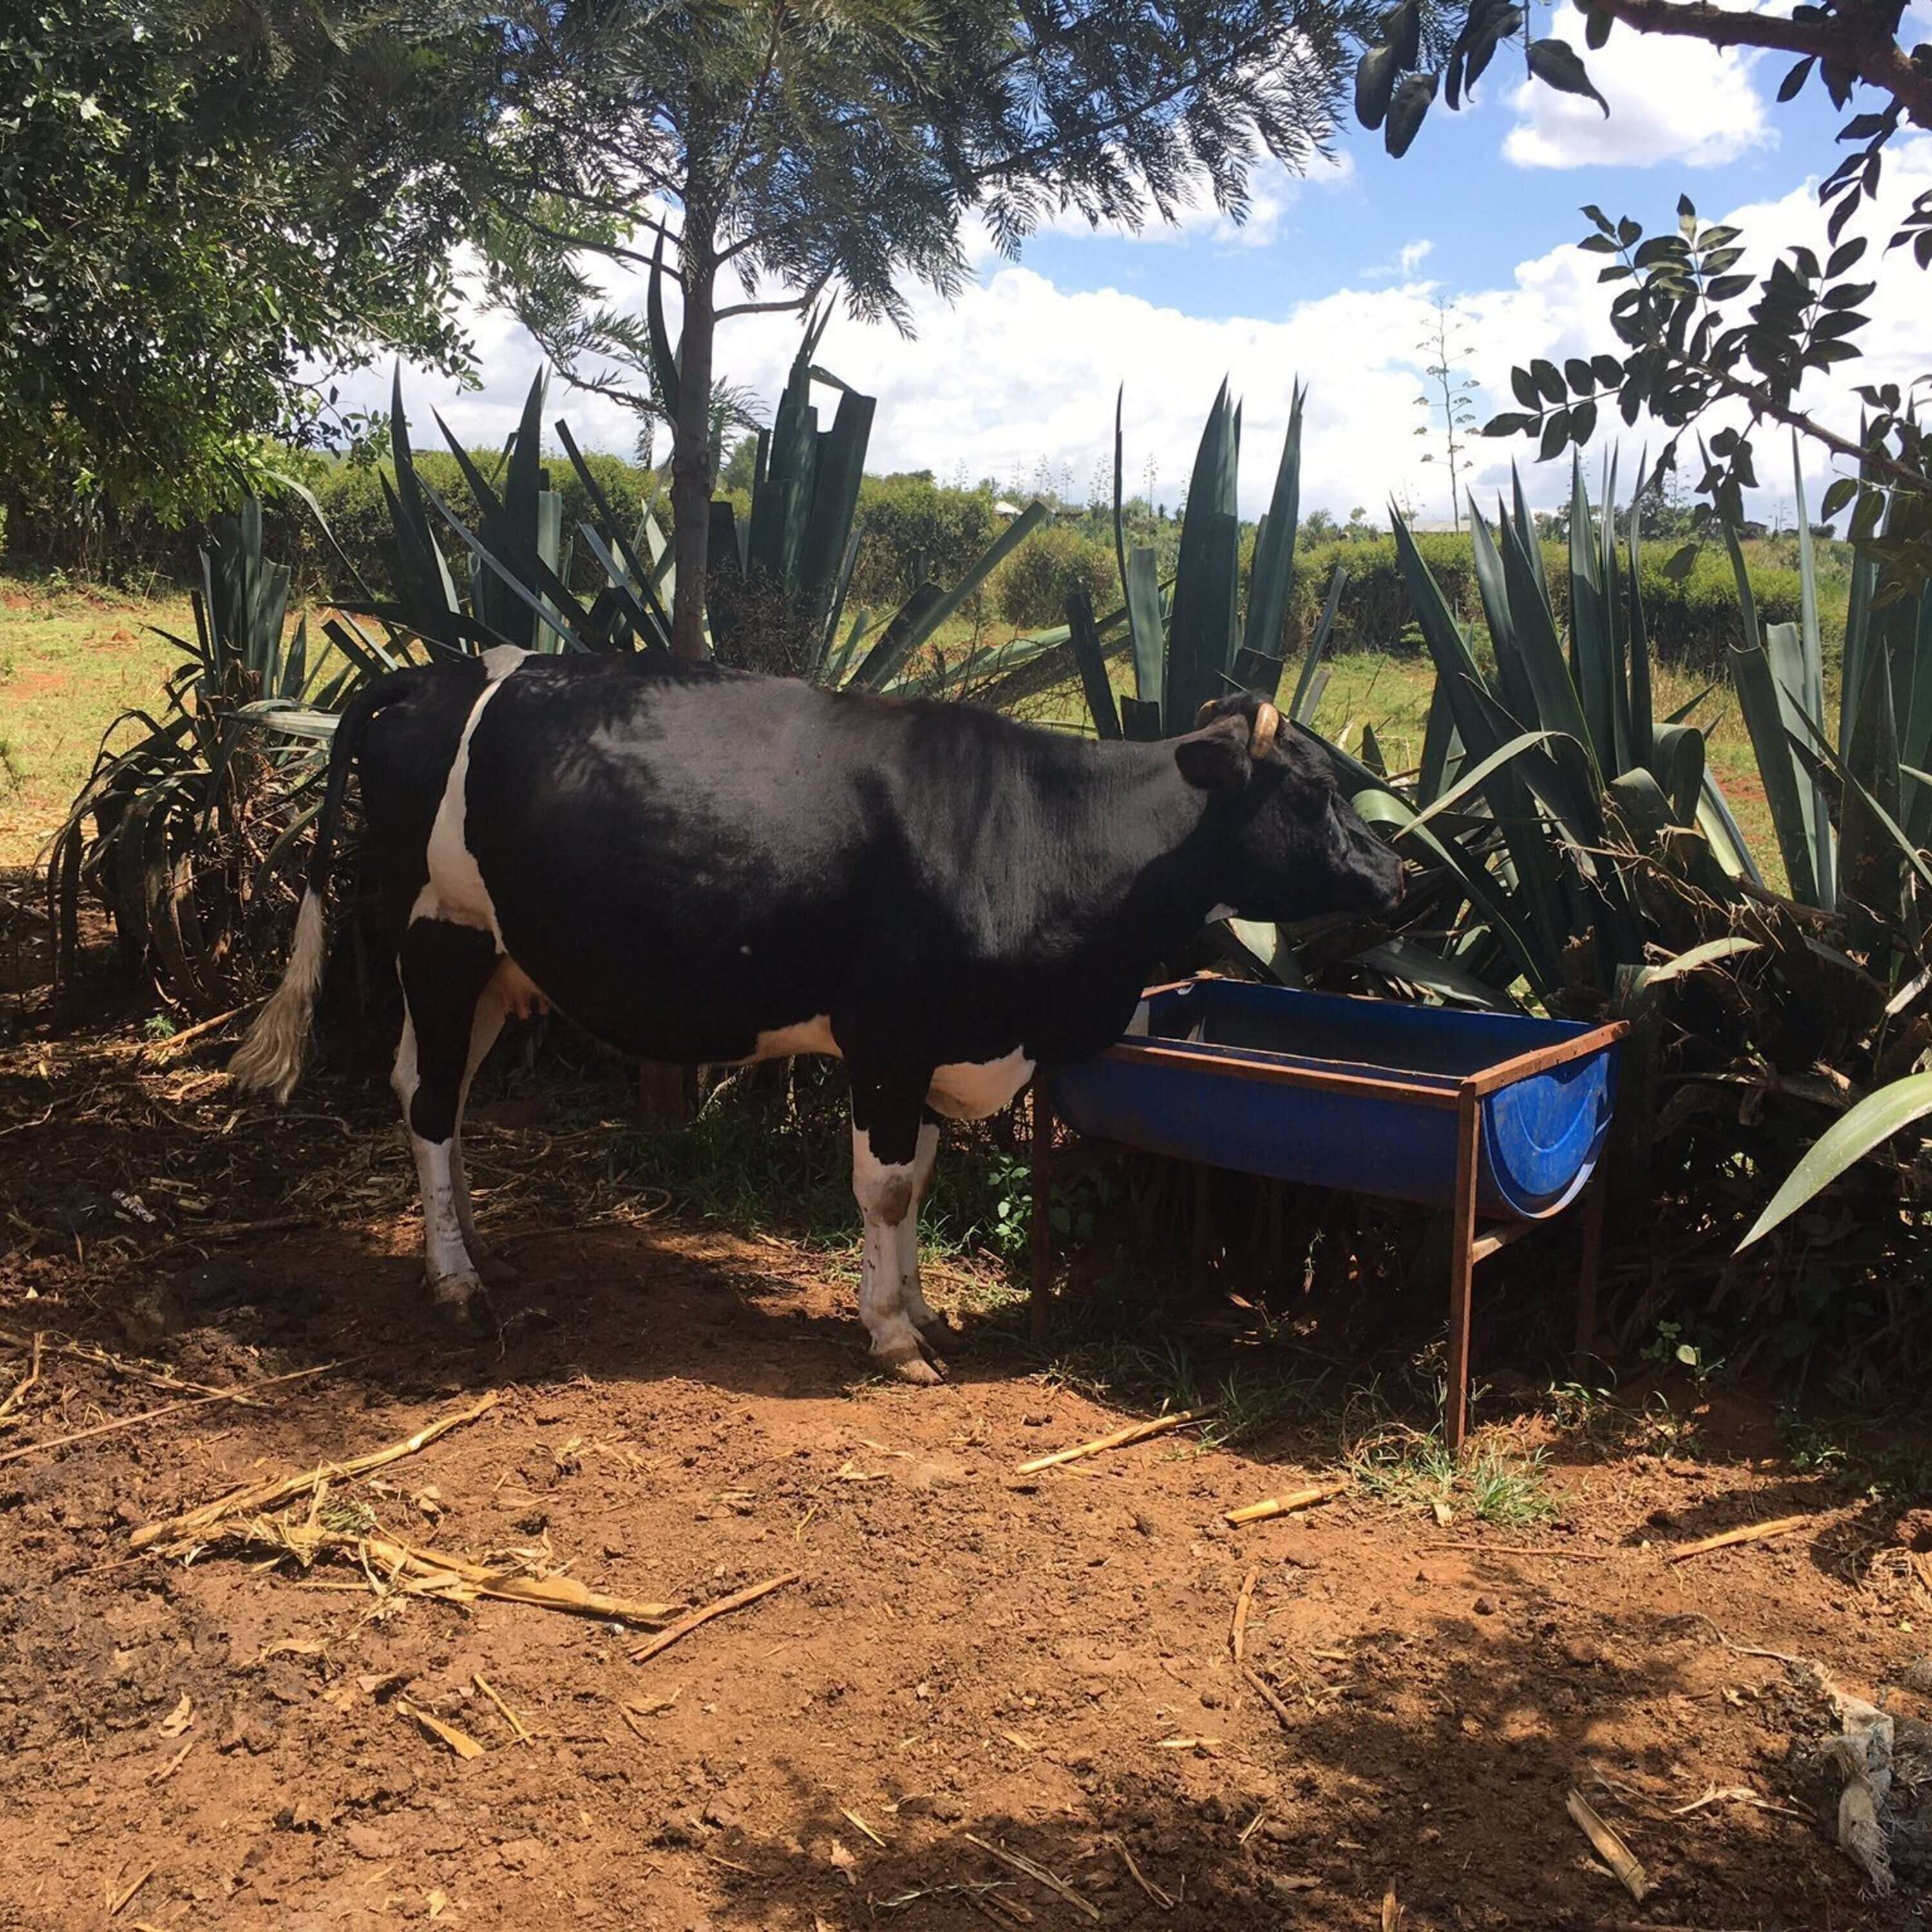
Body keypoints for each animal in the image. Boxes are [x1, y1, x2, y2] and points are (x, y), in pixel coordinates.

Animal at [230, 649, 1406, 1376]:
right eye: (1311, 793)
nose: (1400, 876)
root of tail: (433, 672)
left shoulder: (939, 1042)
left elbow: (918, 1179)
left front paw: (923, 1310)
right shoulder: (887, 1033)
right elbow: (884, 1187)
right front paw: (892, 1335)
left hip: (496, 967)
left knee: (433, 1094)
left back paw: (475, 1242)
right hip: (438, 937)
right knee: (430, 1103)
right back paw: (458, 1280)